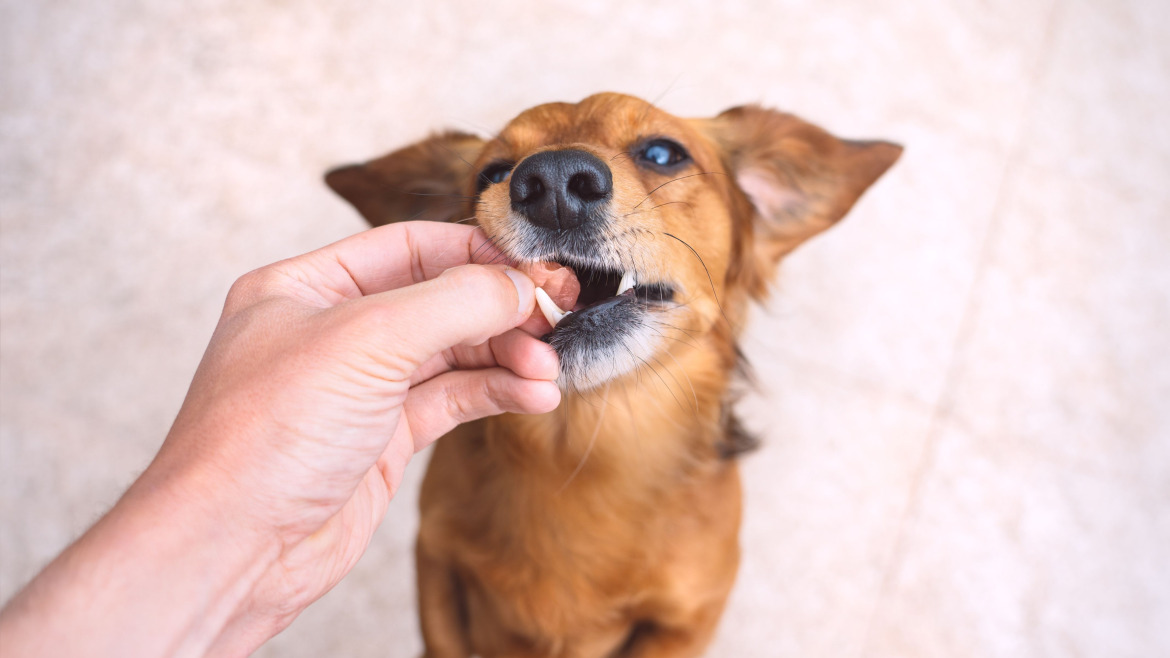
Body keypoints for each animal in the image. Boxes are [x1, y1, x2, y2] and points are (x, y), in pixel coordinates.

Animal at [325, 93, 898, 655]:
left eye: (663, 154)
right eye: (493, 173)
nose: (552, 181)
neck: (587, 445)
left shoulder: (688, 619)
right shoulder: (435, 559)